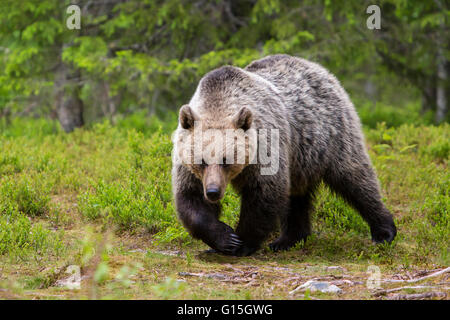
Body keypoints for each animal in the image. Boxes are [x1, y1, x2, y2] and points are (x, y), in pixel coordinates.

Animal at [171, 53, 396, 256]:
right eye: (201, 161)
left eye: (227, 160)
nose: (213, 192)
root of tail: (318, 68)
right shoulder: (187, 164)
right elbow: (191, 199)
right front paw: (224, 238)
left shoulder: (266, 147)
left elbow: (264, 193)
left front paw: (241, 243)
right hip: (302, 160)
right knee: (298, 197)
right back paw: (289, 239)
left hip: (331, 135)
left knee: (355, 178)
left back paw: (384, 231)